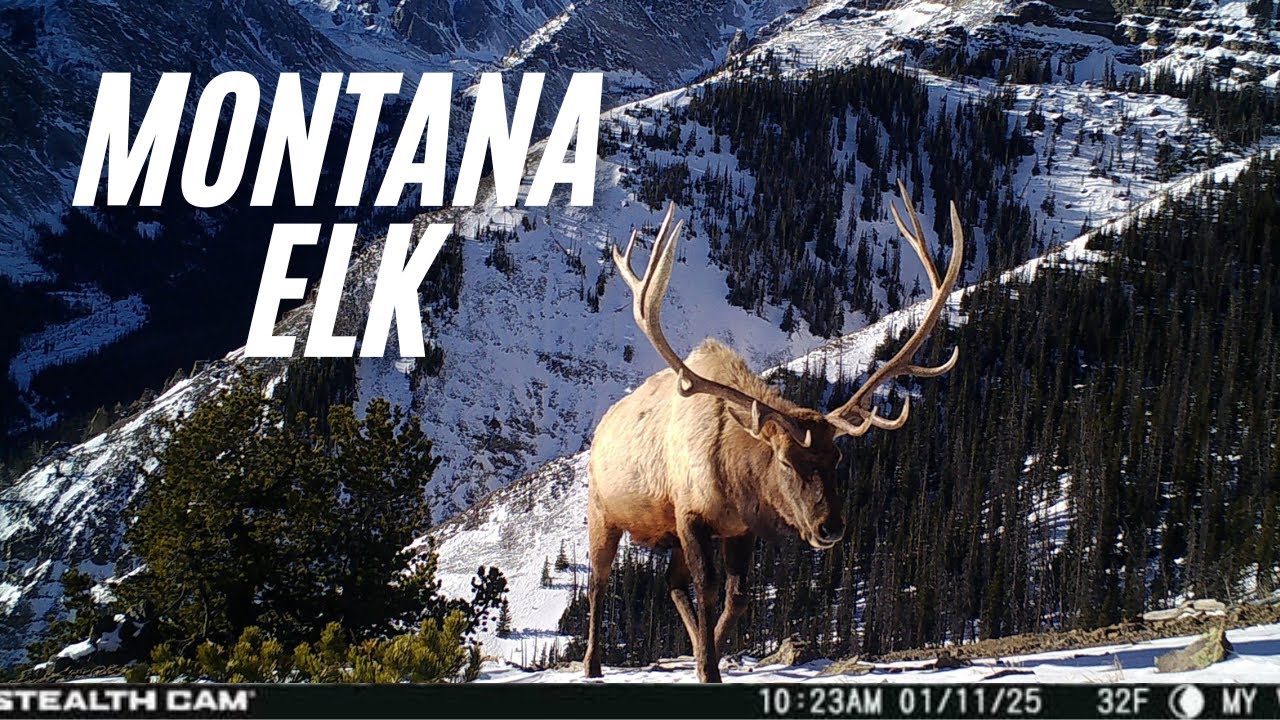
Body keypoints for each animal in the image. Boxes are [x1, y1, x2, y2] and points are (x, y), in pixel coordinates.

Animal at [583, 181, 964, 682]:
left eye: (837, 458)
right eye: (786, 459)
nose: (830, 527)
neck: (730, 475)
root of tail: (599, 430)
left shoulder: (739, 528)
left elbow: (737, 598)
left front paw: (708, 657)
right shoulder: (689, 514)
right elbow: (708, 589)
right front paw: (708, 667)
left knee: (669, 584)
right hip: (602, 511)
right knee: (598, 583)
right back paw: (592, 663)